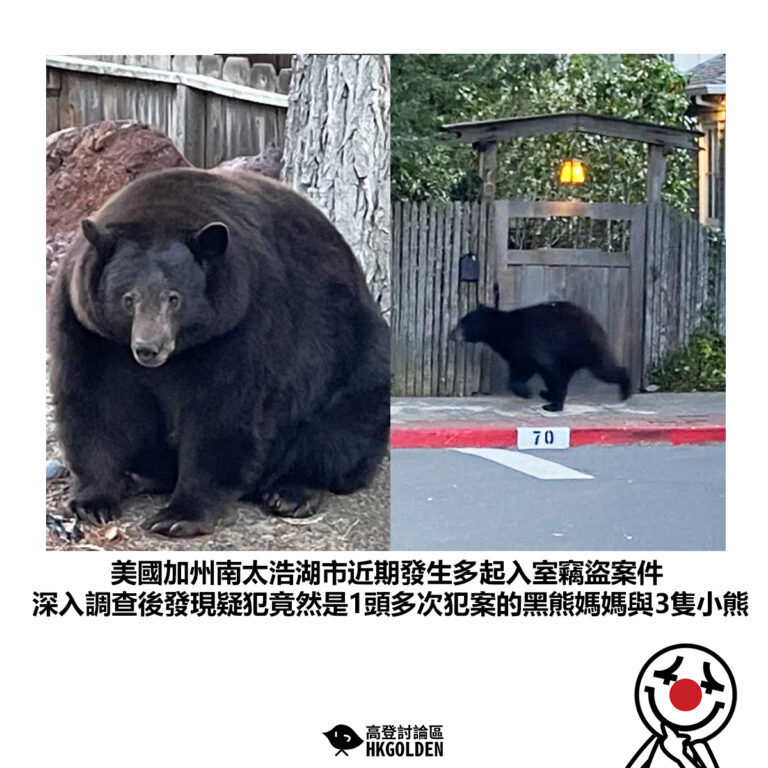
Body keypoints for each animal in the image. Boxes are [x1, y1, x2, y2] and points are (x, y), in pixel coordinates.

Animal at [48, 167, 390, 537]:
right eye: (129, 298)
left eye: (174, 297)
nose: (148, 348)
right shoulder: (87, 327)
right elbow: (95, 401)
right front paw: (93, 501)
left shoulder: (243, 322)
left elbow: (223, 411)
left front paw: (179, 515)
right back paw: (139, 476)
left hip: (354, 358)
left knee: (341, 429)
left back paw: (291, 492)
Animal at [448, 301, 630, 411]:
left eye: (461, 323)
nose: (450, 334)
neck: (505, 331)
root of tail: (592, 321)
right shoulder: (520, 352)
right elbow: (519, 372)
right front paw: (527, 391)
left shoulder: (534, 344)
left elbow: (546, 369)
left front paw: (534, 395)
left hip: (585, 347)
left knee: (603, 369)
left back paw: (625, 389)